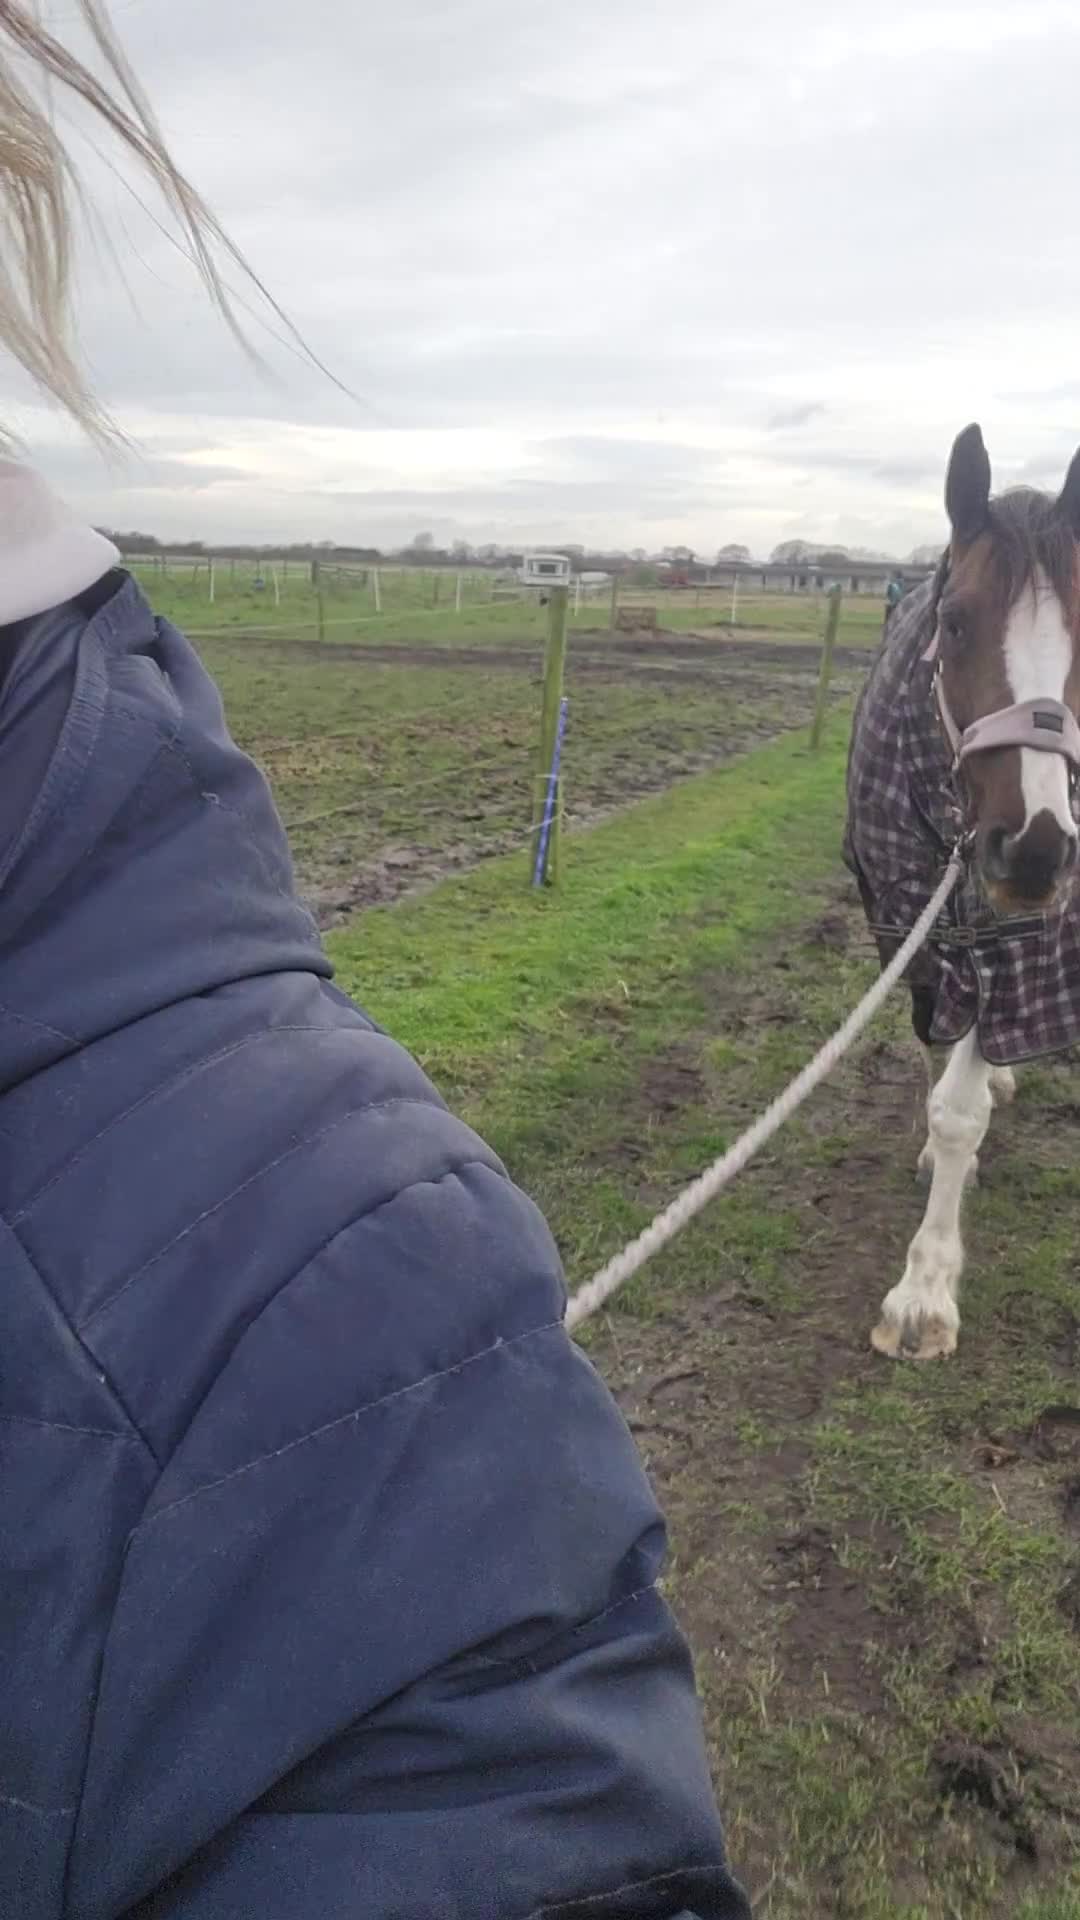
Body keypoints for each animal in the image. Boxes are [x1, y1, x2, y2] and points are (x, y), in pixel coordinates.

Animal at [844, 424, 1080, 1361]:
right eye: (954, 622)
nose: (1035, 850)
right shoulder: (902, 914)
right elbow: (938, 1073)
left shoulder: (1013, 941)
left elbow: (962, 1105)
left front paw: (927, 1284)